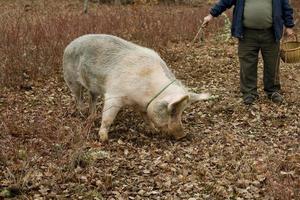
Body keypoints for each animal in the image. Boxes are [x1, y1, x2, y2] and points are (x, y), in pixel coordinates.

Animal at [62, 34, 210, 141]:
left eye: (181, 111)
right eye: (172, 111)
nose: (182, 136)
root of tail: (69, 44)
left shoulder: (142, 105)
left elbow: (146, 116)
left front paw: (153, 131)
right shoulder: (114, 95)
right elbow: (108, 116)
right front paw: (103, 139)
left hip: (93, 88)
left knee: (92, 99)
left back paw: (91, 116)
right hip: (71, 79)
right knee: (78, 97)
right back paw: (82, 114)